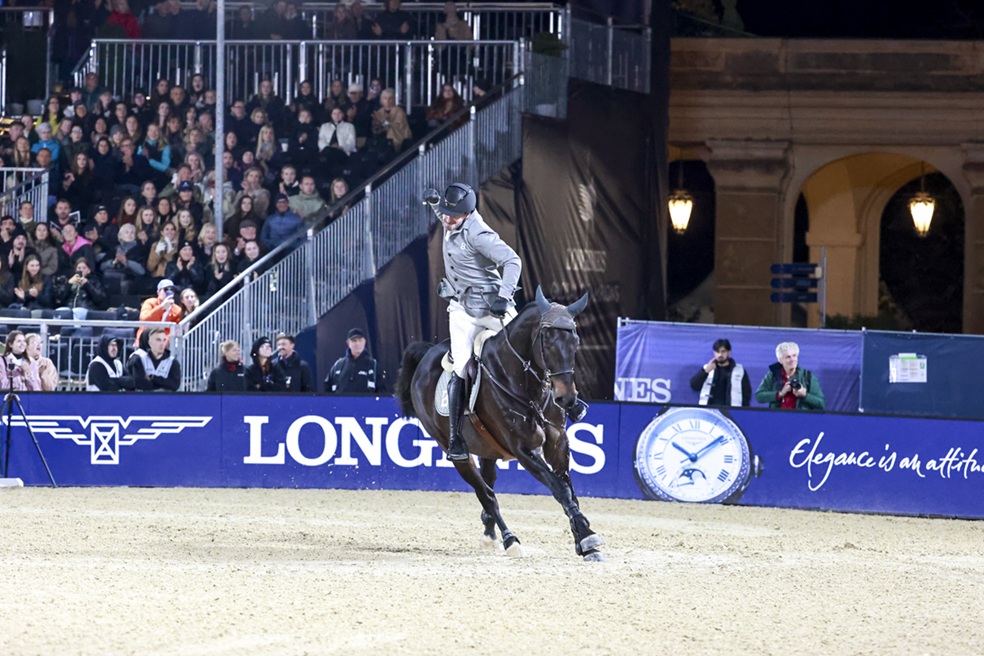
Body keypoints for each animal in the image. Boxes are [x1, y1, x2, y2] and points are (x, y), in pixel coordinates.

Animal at [394, 286, 604, 561]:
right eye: (547, 342)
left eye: (576, 341)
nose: (566, 398)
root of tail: (426, 356)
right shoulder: (523, 449)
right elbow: (559, 488)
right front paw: (586, 536)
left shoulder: (558, 441)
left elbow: (569, 490)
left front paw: (585, 537)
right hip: (454, 450)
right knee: (486, 494)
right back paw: (509, 539)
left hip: (488, 448)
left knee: (488, 483)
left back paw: (489, 533)